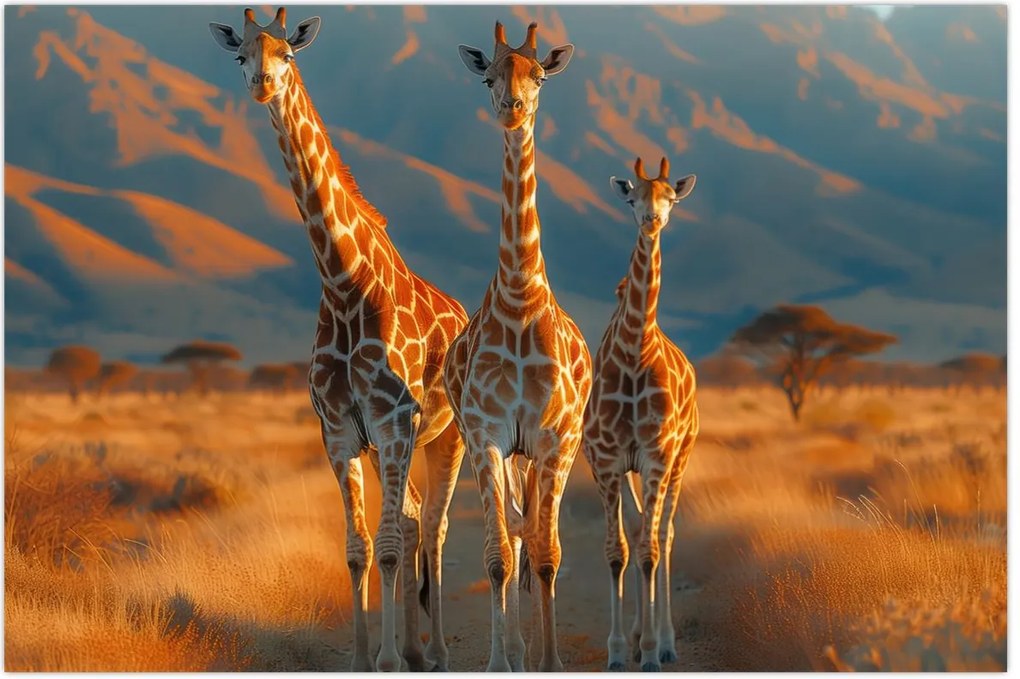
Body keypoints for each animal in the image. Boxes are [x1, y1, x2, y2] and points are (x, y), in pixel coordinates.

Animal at [209, 8, 467, 672]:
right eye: (241, 55)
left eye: (287, 53)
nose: (262, 85)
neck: (344, 284)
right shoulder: (340, 431)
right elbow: (358, 547)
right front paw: (363, 658)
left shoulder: (394, 421)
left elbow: (391, 545)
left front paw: (388, 660)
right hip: (390, 445)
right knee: (410, 518)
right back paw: (414, 647)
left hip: (446, 435)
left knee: (434, 527)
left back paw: (436, 652)